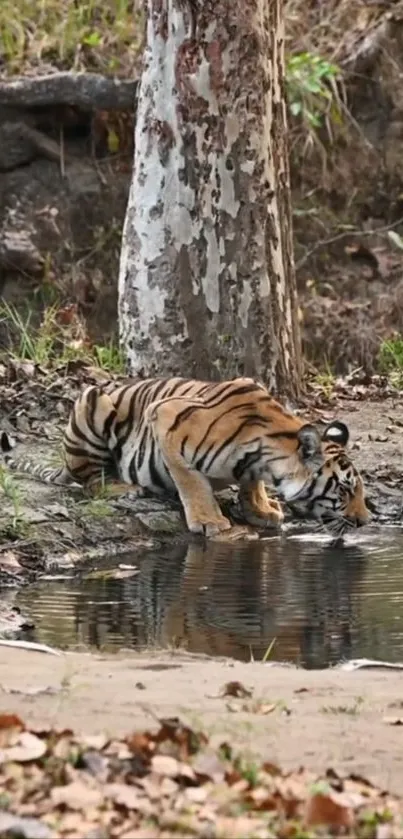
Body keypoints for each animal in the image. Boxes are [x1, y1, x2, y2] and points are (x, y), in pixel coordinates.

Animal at [0, 374, 370, 540]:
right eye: (344, 489)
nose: (366, 521)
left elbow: (250, 484)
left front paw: (261, 510)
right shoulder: (165, 417)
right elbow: (191, 481)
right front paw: (210, 521)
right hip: (93, 401)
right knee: (90, 479)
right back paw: (123, 488)